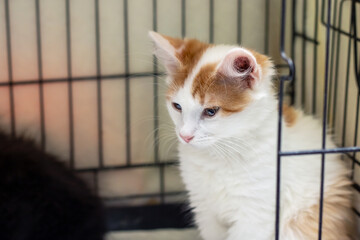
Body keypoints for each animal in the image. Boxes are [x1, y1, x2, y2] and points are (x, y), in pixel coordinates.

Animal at [149, 31, 354, 240]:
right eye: (177, 106)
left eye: (211, 111)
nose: (185, 136)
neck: (219, 155)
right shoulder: (204, 207)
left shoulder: (254, 214)